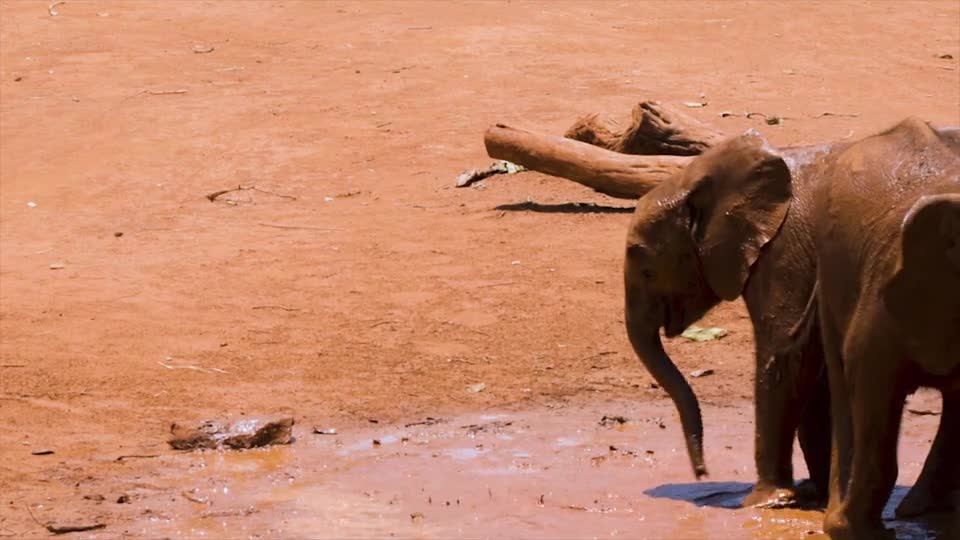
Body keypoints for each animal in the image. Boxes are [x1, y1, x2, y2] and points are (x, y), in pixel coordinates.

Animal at [808, 119, 960, 540]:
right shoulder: (885, 293)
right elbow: (872, 383)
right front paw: (865, 533)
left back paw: (920, 509)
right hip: (831, 270)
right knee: (844, 382)